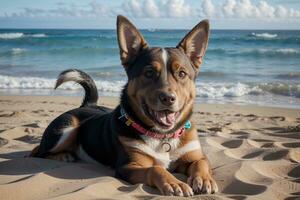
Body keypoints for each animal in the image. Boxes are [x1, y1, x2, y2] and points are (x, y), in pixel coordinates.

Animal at [31, 15, 218, 197]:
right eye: (149, 73)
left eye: (182, 73)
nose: (168, 98)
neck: (163, 137)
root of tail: (88, 104)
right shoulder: (128, 166)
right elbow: (155, 169)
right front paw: (173, 182)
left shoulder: (193, 155)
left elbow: (201, 162)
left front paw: (204, 179)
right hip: (66, 128)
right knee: (37, 152)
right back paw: (64, 156)